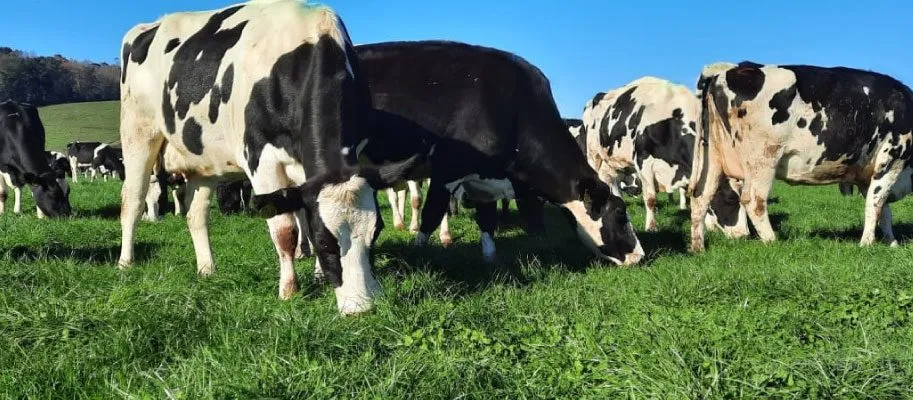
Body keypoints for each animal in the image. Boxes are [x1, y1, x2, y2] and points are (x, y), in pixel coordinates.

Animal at [118, 1, 418, 315]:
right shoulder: (261, 161)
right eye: (325, 242)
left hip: (204, 160)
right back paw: (126, 261)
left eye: (377, 232)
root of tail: (147, 27)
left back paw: (207, 269)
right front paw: (289, 291)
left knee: (196, 215)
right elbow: (285, 230)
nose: (361, 307)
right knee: (133, 201)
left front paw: (318, 275)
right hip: (138, 133)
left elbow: (304, 212)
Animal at [351, 41, 643, 265]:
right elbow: (432, 213)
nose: (640, 255)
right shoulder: (448, 166)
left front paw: (491, 260)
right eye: (620, 214)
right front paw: (418, 253)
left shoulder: (482, 180)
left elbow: (487, 220)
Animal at [581, 77, 748, 235]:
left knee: (610, 180)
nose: (744, 234)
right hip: (593, 155)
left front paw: (709, 225)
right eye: (731, 198)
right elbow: (650, 198)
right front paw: (651, 227)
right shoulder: (643, 162)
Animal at [690, 61, 913, 252]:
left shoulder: (867, 174)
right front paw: (867, 244)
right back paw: (772, 241)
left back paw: (698, 248)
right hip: (763, 158)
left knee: (701, 198)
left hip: (712, 157)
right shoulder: (892, 161)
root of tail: (726, 71)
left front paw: (891, 244)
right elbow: (875, 205)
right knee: (754, 200)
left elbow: (883, 210)